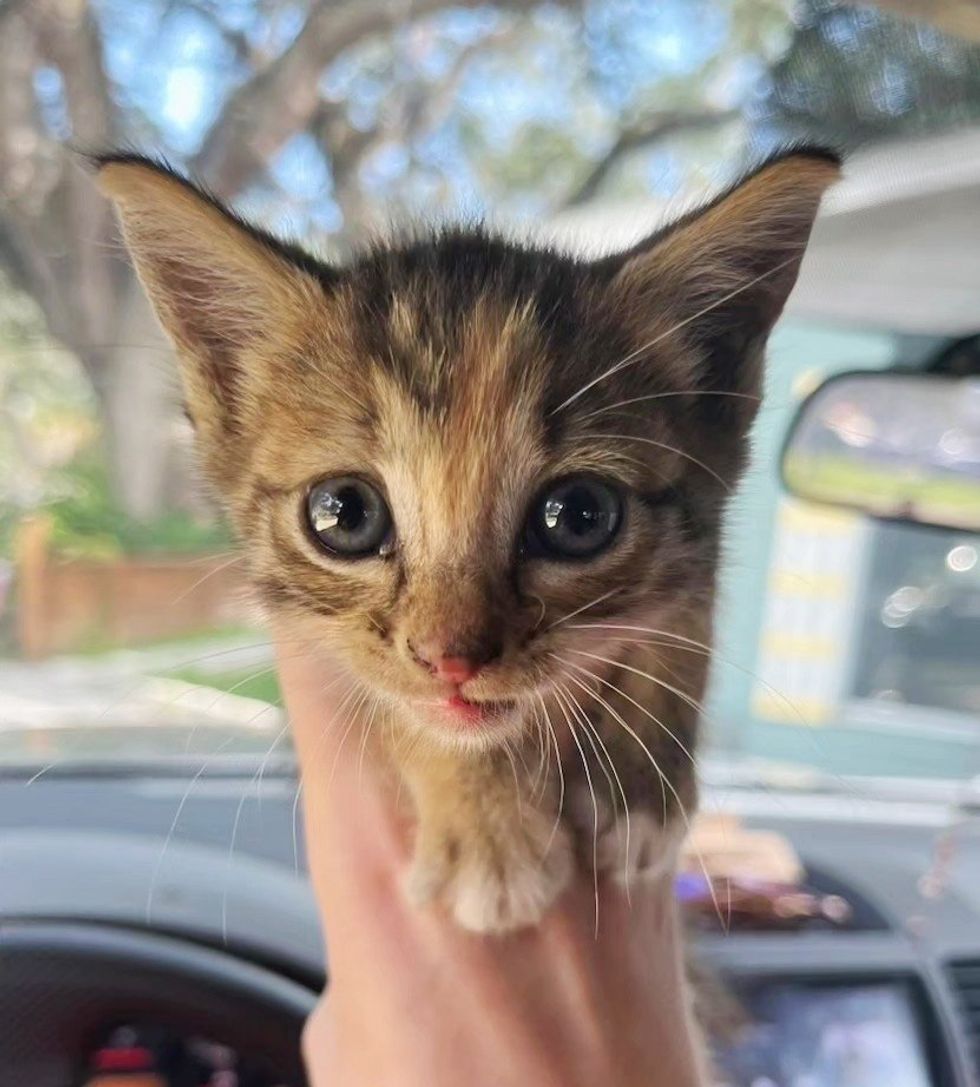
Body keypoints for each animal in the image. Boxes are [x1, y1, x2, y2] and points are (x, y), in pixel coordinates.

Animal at [96, 148, 838, 934]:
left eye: (579, 516)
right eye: (345, 514)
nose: (451, 659)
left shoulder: (699, 550)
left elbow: (681, 629)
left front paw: (638, 788)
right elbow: (397, 707)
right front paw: (488, 839)